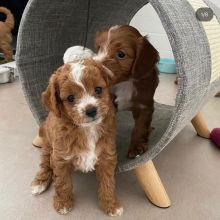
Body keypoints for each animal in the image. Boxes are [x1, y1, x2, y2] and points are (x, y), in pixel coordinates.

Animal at [30, 58, 123, 217]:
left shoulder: (107, 156)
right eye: (70, 98)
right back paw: (39, 183)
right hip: (48, 149)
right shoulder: (60, 158)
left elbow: (108, 182)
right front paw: (63, 204)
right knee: (45, 165)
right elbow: (62, 183)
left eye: (98, 89)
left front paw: (110, 205)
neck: (86, 129)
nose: (91, 110)